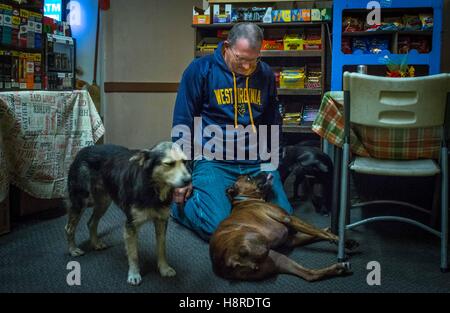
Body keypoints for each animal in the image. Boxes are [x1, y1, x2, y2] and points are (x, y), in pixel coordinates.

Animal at [64, 141, 191, 286]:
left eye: (185, 161)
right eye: (169, 164)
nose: (189, 180)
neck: (153, 188)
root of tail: (83, 150)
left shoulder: (161, 221)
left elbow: (162, 248)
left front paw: (164, 268)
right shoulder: (131, 225)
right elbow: (134, 254)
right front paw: (134, 274)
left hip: (104, 201)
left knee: (91, 222)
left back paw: (95, 243)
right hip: (80, 200)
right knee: (69, 227)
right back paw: (73, 249)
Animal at [209, 173, 356, 280]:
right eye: (249, 178)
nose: (263, 171)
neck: (246, 199)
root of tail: (228, 260)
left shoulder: (291, 239)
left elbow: (315, 233)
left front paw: (339, 237)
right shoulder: (289, 219)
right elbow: (318, 231)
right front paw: (340, 240)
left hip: (278, 260)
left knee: (309, 275)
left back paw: (339, 268)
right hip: (261, 241)